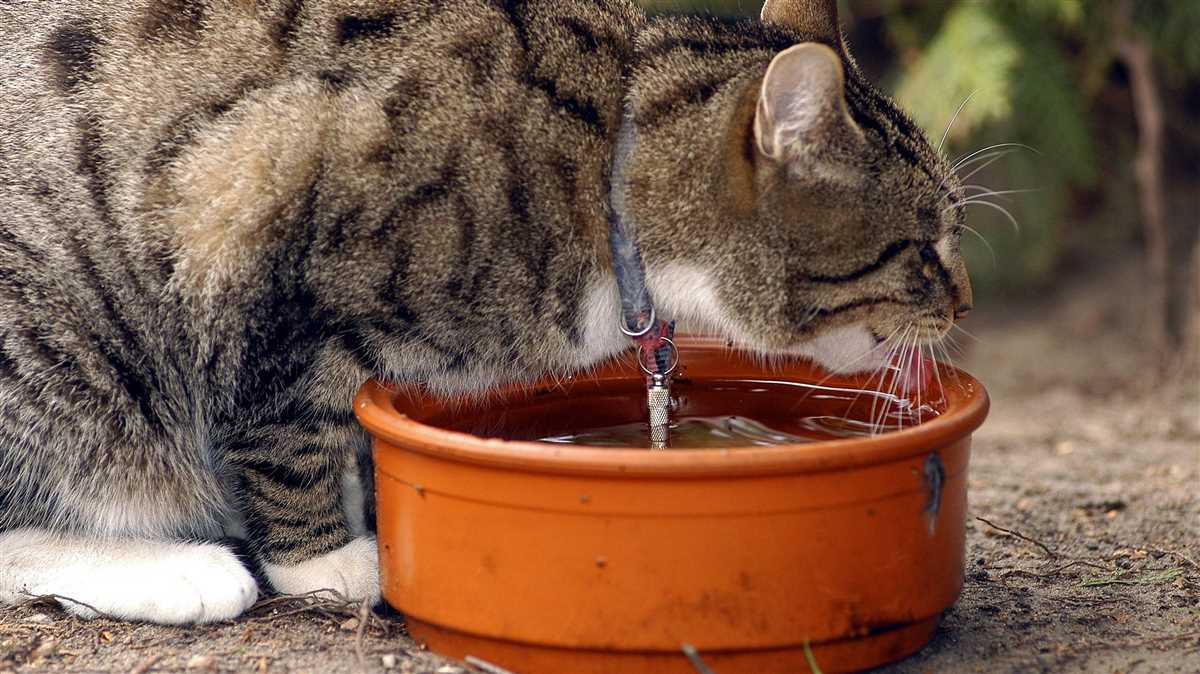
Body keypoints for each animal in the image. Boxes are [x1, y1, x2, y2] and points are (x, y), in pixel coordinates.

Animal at [0, 0, 974, 623]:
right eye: (924, 245)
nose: (963, 299)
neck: (603, 164)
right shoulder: (253, 223)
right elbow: (285, 428)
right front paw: (327, 560)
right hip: (55, 340)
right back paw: (186, 570)